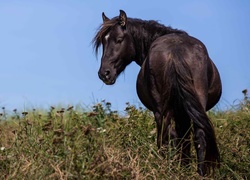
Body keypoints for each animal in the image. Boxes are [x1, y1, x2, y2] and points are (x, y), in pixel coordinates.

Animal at [93, 9, 222, 176]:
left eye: (119, 39)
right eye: (103, 42)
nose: (104, 74)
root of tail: (175, 51)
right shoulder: (182, 113)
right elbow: (184, 140)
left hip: (162, 111)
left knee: (168, 138)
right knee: (195, 136)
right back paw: (197, 172)